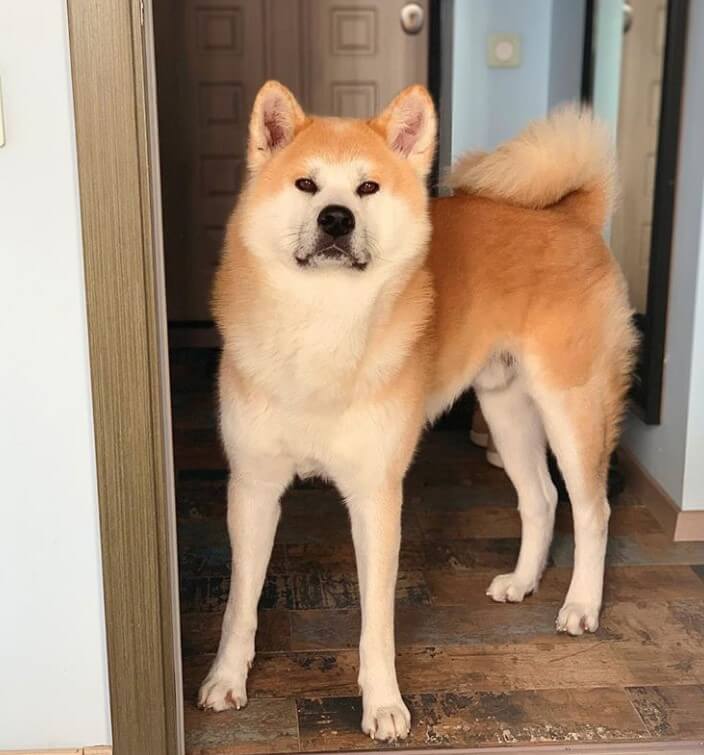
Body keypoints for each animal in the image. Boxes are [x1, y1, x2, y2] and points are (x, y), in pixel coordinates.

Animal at [198, 79, 640, 740]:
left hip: (571, 408)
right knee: (541, 500)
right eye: (305, 184)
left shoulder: (377, 496)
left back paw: (581, 605)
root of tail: (573, 215)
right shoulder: (253, 487)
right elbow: (238, 605)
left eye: (367, 188)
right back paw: (523, 581)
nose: (335, 218)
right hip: (506, 410)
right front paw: (227, 680)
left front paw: (383, 703)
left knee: (592, 510)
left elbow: (376, 622)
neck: (321, 324)